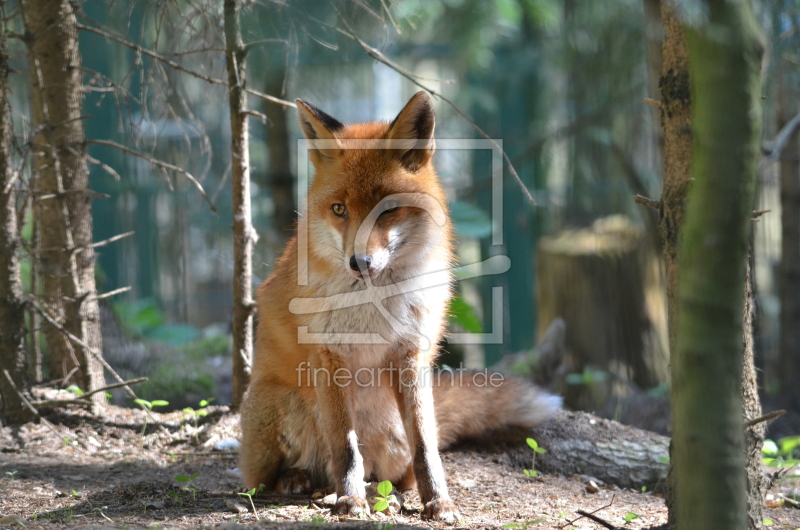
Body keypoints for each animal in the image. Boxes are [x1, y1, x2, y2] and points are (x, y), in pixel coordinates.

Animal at [239, 92, 564, 520]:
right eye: (339, 209)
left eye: (388, 208)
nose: (359, 262)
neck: (376, 303)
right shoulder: (329, 355)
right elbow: (345, 447)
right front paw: (350, 501)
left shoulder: (410, 353)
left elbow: (426, 447)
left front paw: (438, 500)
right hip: (282, 406)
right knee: (275, 477)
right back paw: (303, 480)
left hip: (393, 432)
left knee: (394, 472)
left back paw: (379, 489)